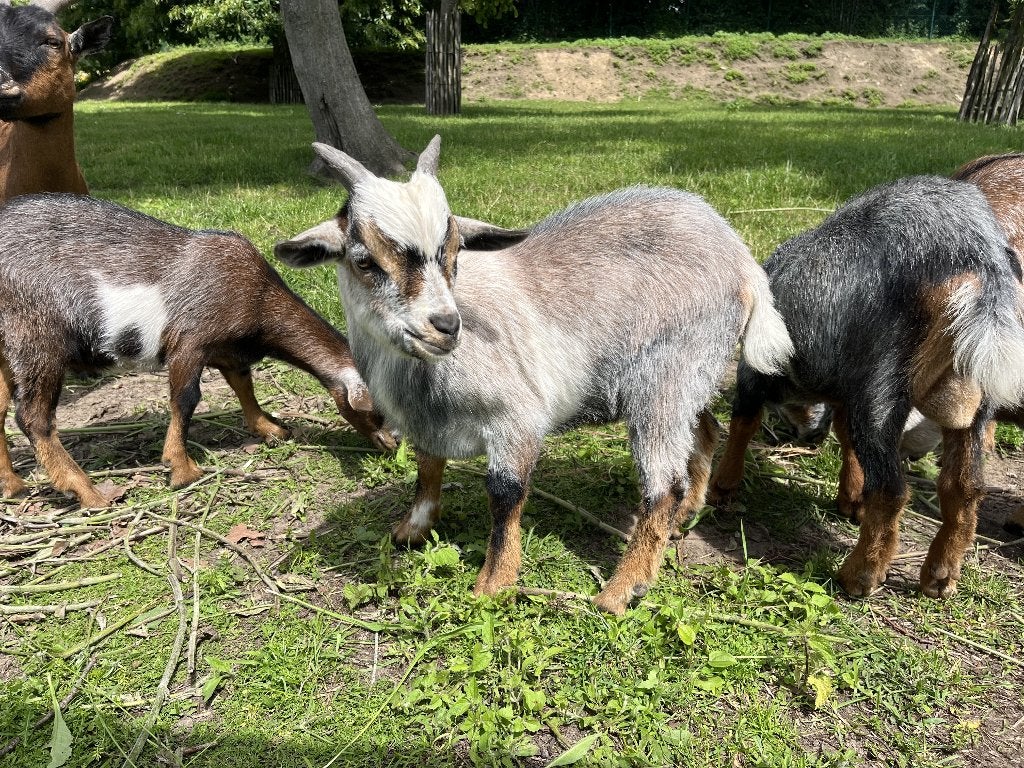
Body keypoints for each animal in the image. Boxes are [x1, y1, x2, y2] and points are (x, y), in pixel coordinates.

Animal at [0, 192, 396, 509]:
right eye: (377, 412)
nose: (391, 444)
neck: (258, 296)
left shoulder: (228, 351)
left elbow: (243, 385)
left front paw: (270, 428)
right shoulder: (189, 341)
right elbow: (186, 398)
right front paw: (181, 469)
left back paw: (13, 485)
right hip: (37, 336)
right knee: (33, 417)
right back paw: (86, 492)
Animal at [275, 135, 795, 615]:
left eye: (455, 252)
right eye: (363, 260)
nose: (446, 325)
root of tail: (740, 256)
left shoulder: (516, 420)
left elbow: (504, 496)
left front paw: (493, 584)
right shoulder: (428, 423)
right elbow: (427, 469)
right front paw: (411, 530)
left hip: (664, 378)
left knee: (664, 481)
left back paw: (622, 590)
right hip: (689, 374)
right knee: (705, 429)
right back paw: (684, 517)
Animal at [708, 175, 1024, 599]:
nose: (808, 435)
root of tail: (976, 257)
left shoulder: (754, 373)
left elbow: (744, 421)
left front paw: (722, 488)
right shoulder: (847, 393)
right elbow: (846, 440)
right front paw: (851, 501)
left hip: (884, 383)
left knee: (892, 489)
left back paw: (860, 575)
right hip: (979, 393)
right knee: (964, 486)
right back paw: (939, 577)